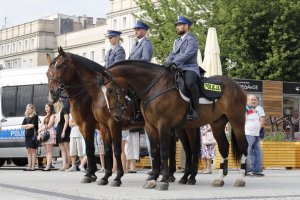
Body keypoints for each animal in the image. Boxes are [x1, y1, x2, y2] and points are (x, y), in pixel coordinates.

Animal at [102, 60, 247, 191]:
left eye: (110, 90)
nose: (115, 116)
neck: (155, 88)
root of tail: (237, 85)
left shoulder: (164, 126)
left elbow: (164, 151)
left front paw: (164, 180)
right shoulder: (150, 127)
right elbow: (154, 151)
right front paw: (153, 179)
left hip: (237, 120)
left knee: (243, 145)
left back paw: (240, 178)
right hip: (216, 124)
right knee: (223, 147)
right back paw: (219, 179)